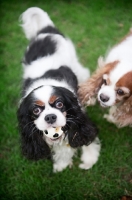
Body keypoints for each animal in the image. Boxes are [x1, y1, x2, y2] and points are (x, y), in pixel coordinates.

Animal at [17, 7, 100, 172]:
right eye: (36, 110)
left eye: (60, 104)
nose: (50, 117)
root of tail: (46, 31)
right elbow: (62, 149)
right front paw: (62, 164)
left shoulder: (80, 117)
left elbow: (85, 140)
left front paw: (89, 160)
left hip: (76, 65)